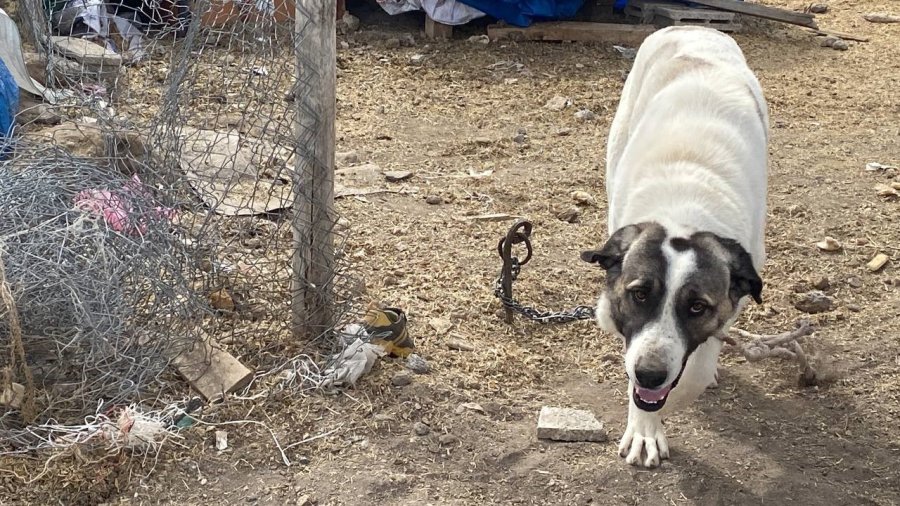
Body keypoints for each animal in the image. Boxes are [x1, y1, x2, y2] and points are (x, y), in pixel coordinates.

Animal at [584, 25, 768, 468]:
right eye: (638, 295)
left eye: (697, 307)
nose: (649, 374)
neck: (683, 209)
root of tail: (692, 26)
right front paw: (645, 428)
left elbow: (694, 372)